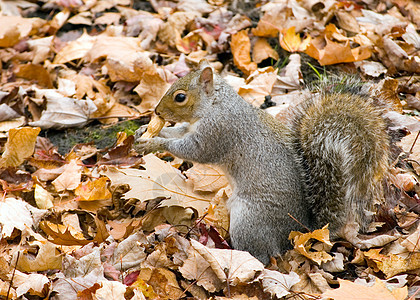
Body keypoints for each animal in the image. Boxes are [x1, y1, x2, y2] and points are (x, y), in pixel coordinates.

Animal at [135, 59, 390, 264]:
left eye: (180, 97)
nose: (157, 112)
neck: (215, 104)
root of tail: (300, 232)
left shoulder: (217, 132)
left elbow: (194, 151)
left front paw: (154, 143)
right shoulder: (193, 127)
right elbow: (177, 132)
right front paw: (145, 132)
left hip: (250, 220)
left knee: (260, 257)